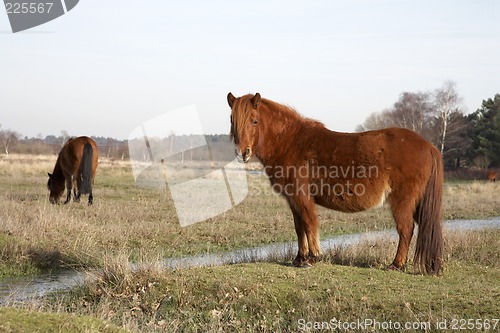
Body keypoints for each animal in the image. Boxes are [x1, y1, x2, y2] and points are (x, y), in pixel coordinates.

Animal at [229, 92, 444, 274]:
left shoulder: (302, 197)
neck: (291, 143)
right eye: (232, 121)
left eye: (254, 120)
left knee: (405, 229)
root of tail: (428, 145)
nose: (242, 153)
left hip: (402, 201)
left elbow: (309, 224)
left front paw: (312, 258)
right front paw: (299, 258)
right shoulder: (293, 200)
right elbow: (299, 228)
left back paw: (396, 264)